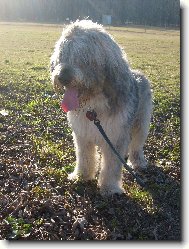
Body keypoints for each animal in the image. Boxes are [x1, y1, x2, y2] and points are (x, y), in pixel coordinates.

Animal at [49, 20, 152, 196]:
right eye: (63, 54)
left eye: (84, 56)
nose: (62, 77)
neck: (93, 106)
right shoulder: (82, 135)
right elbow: (85, 158)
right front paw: (81, 176)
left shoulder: (115, 136)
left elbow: (111, 165)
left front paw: (110, 188)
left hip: (142, 123)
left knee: (137, 145)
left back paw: (138, 162)